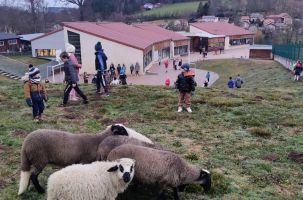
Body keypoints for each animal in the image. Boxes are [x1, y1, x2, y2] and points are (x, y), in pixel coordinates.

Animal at [17, 124, 152, 195]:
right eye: (122, 130)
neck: (97, 141)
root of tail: (25, 143)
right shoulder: (85, 161)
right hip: (39, 159)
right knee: (33, 176)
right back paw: (40, 190)